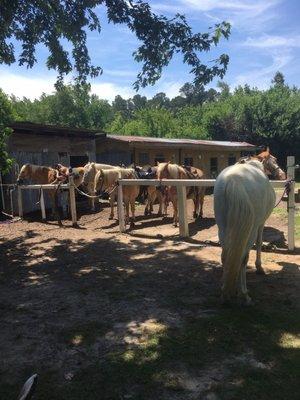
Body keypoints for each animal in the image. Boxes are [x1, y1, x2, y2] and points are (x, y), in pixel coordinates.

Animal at [212, 152, 284, 304]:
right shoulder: (260, 224)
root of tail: (233, 181)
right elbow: (259, 243)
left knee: (225, 255)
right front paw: (259, 267)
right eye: (274, 160)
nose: (282, 174)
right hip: (250, 231)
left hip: (223, 228)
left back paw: (225, 289)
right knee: (243, 258)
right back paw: (244, 293)